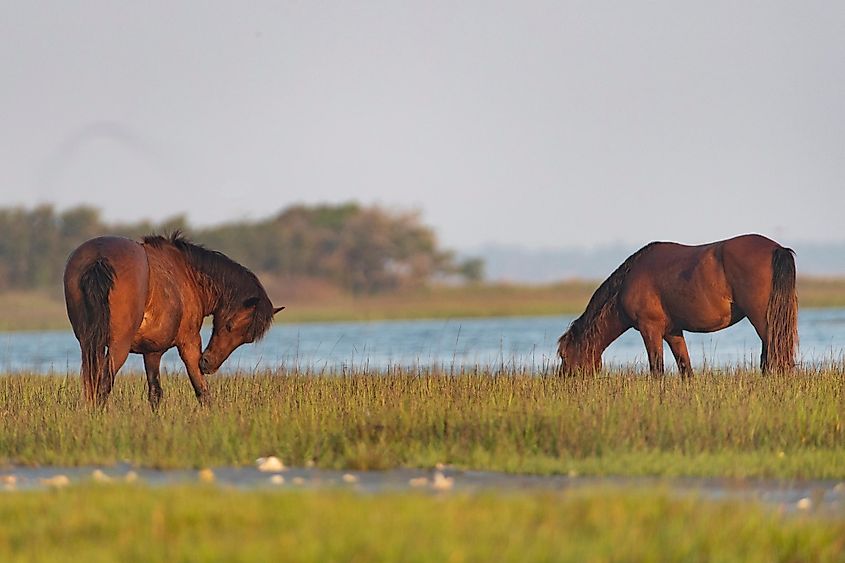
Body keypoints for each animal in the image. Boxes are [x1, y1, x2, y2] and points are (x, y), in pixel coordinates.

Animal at [62, 234, 286, 410]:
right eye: (230, 326)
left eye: (247, 338)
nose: (208, 363)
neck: (188, 273)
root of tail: (99, 258)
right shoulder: (189, 343)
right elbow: (201, 389)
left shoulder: (151, 352)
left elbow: (155, 393)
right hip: (118, 347)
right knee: (103, 384)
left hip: (89, 345)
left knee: (91, 384)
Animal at [556, 236, 796, 376]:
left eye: (565, 356)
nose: (564, 382)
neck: (629, 280)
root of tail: (777, 248)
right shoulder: (673, 332)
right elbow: (685, 369)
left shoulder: (650, 329)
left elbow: (657, 370)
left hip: (763, 320)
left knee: (776, 357)